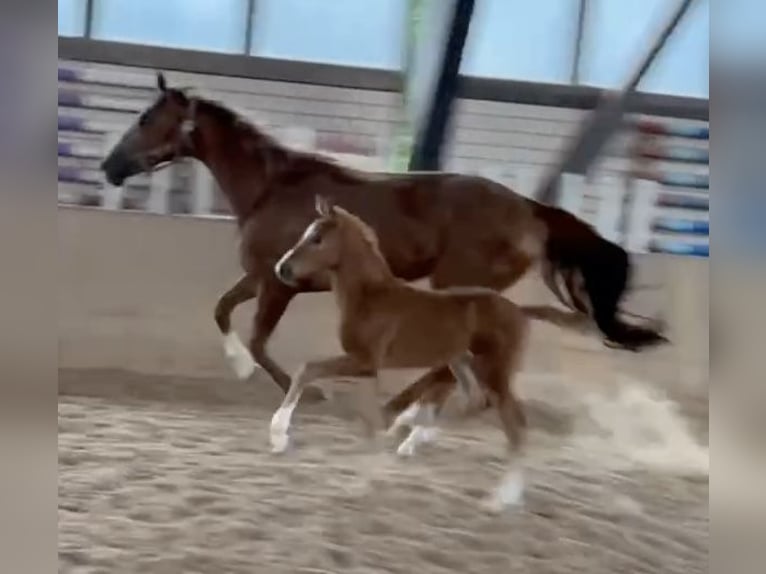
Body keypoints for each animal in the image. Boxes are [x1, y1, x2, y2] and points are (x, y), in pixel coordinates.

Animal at [100, 73, 664, 410]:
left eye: (146, 119)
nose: (109, 167)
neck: (271, 187)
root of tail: (529, 209)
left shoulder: (280, 285)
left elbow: (259, 338)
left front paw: (312, 394)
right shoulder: (264, 274)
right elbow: (221, 310)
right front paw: (240, 368)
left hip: (458, 284)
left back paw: (404, 402)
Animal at [272, 197, 532, 508]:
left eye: (317, 239)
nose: (282, 269)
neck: (371, 297)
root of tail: (521, 313)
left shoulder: (364, 361)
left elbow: (307, 369)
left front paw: (278, 436)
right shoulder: (367, 368)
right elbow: (366, 417)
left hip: (494, 371)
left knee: (515, 425)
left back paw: (502, 498)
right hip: (460, 363)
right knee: (474, 402)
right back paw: (410, 433)